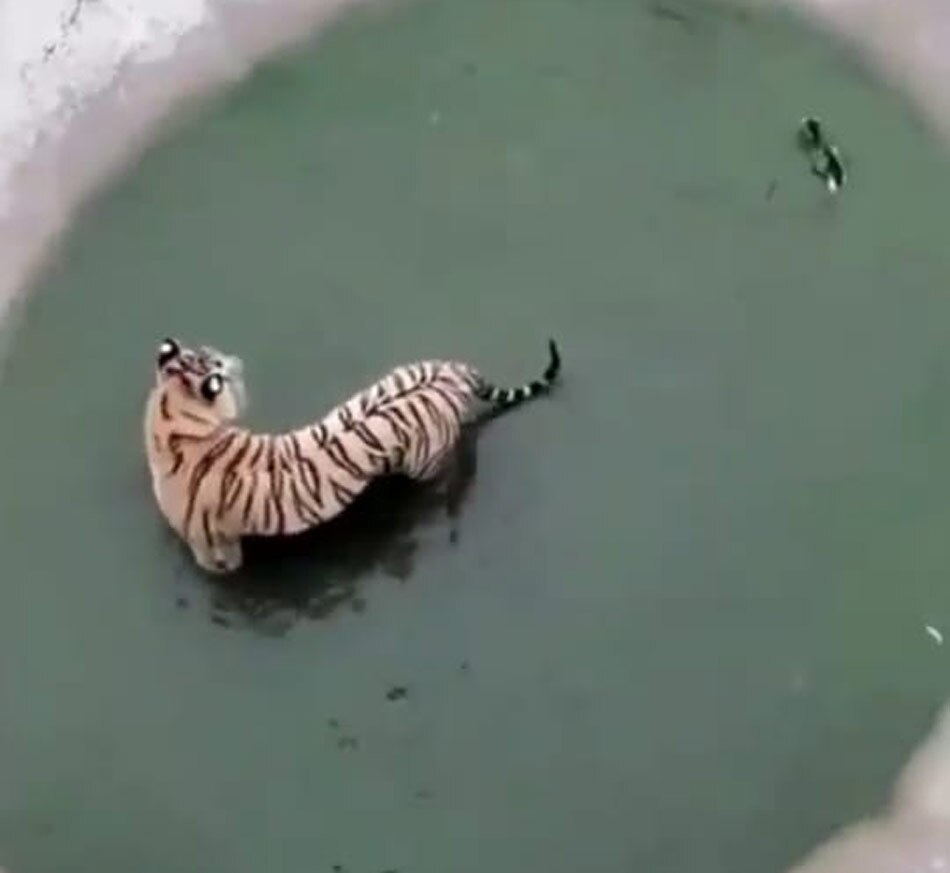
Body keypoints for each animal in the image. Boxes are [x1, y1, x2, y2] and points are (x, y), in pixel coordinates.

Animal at [144, 337, 561, 574]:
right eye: (216, 361)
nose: (238, 361)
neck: (171, 421)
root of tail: (453, 369)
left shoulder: (211, 540)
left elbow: (222, 568)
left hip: (426, 463)